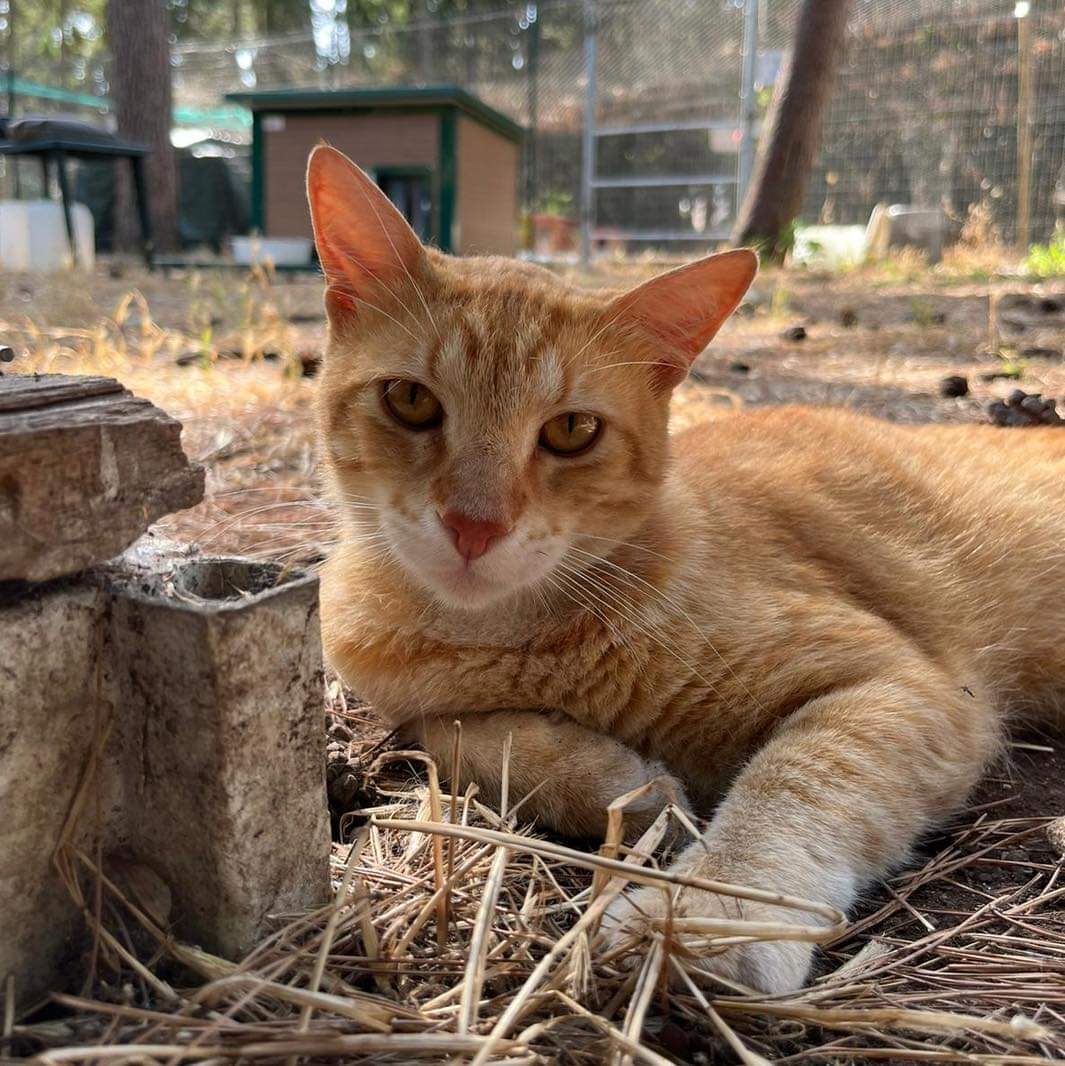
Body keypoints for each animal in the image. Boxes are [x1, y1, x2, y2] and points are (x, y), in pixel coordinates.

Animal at [307, 146, 1065, 993]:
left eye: (572, 430)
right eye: (409, 400)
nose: (475, 525)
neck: (503, 641)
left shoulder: (913, 691)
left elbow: (791, 786)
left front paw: (706, 915)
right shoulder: (406, 705)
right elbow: (454, 736)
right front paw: (623, 785)